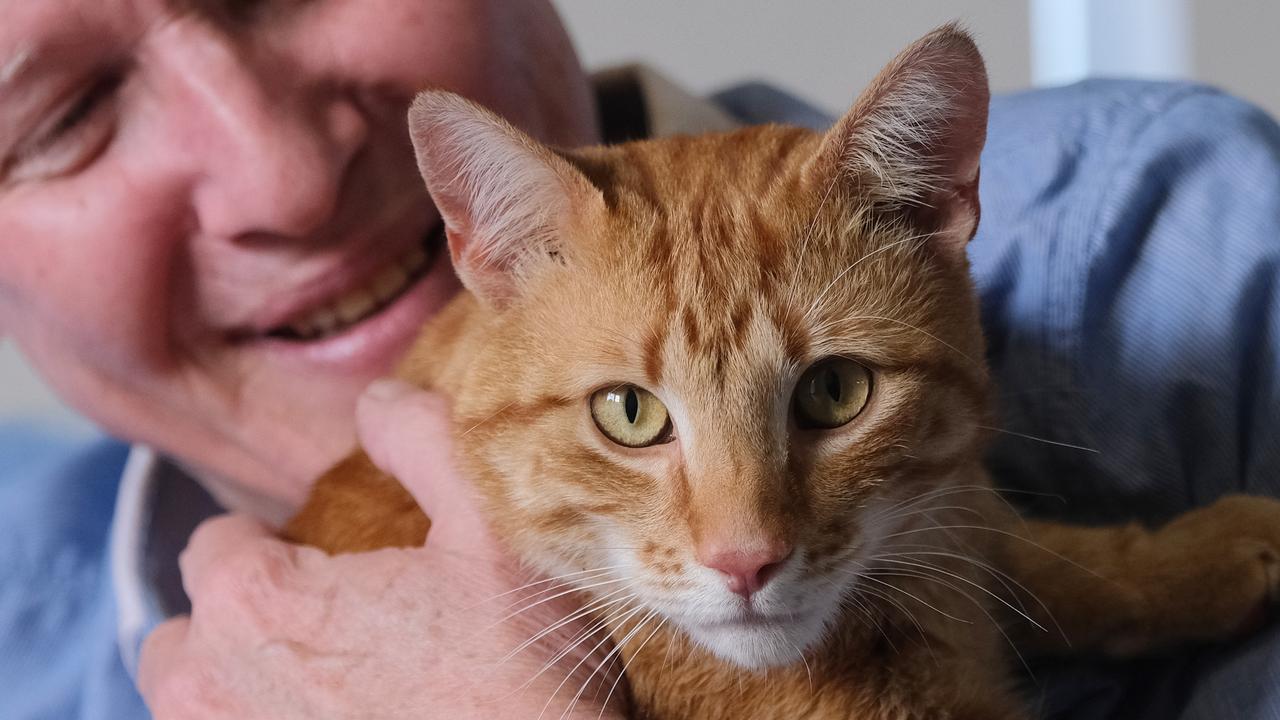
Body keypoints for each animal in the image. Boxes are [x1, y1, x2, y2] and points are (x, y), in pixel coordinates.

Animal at [288, 25, 1280, 712]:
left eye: (835, 393)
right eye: (628, 412)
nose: (746, 562)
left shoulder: (953, 522)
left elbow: (1039, 550)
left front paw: (1201, 557)